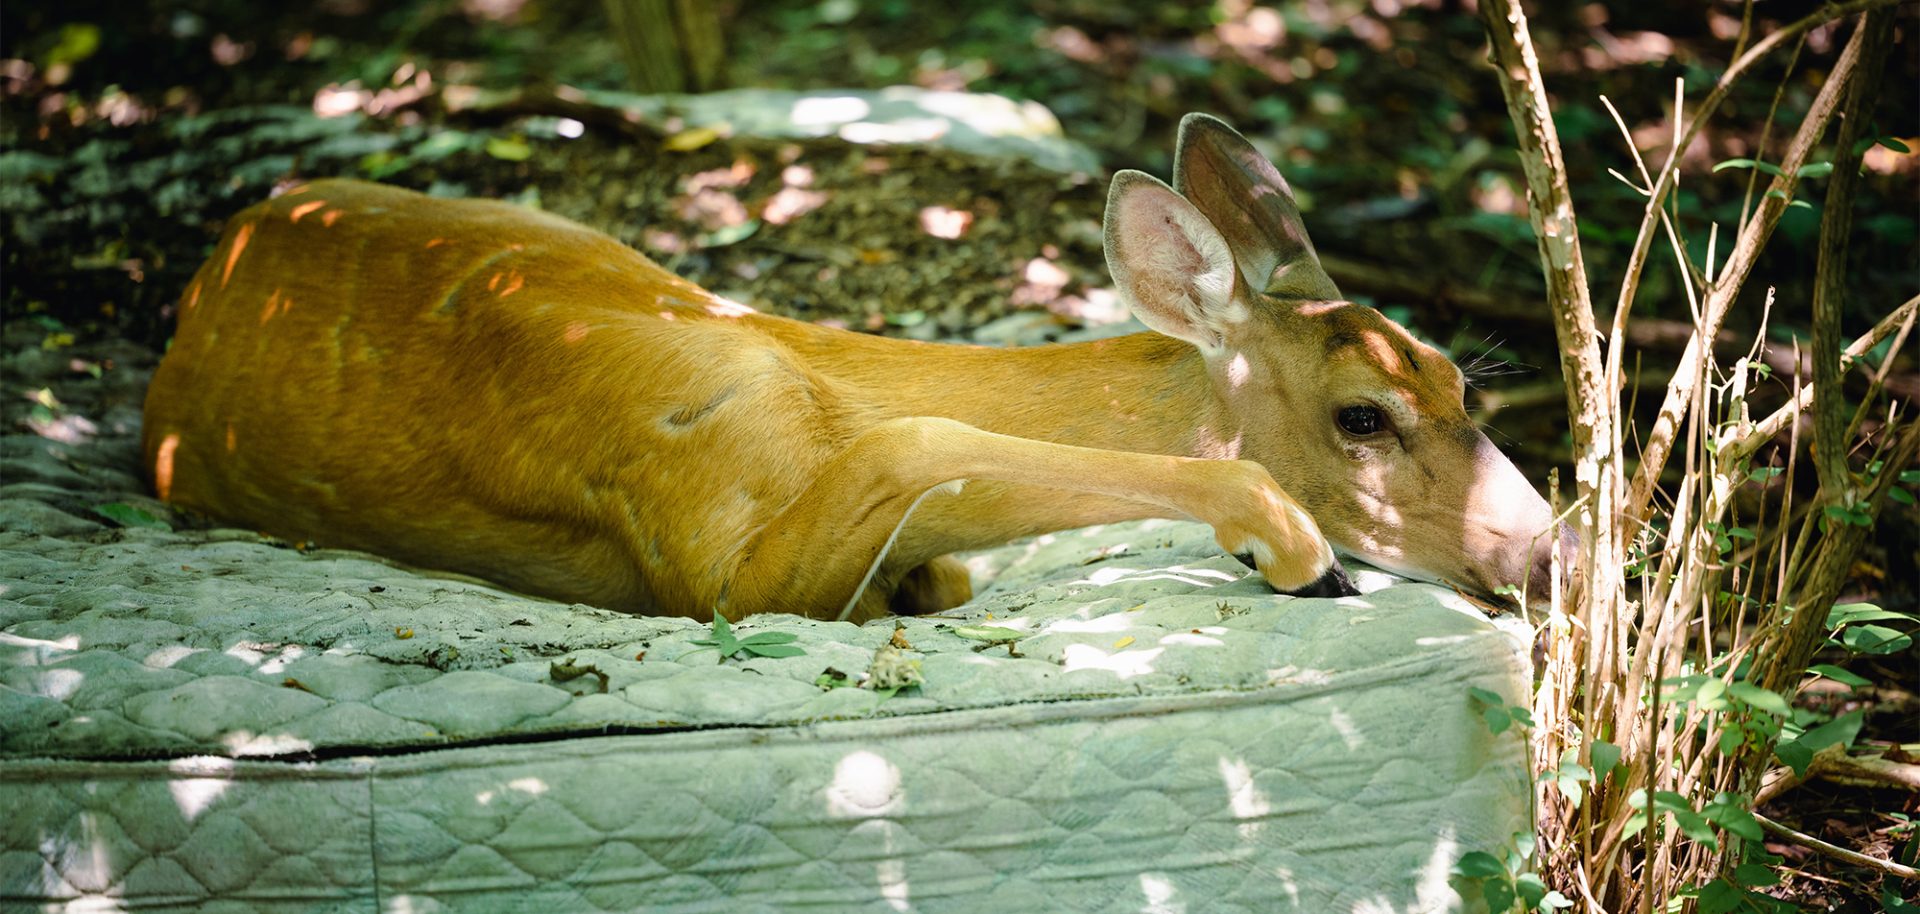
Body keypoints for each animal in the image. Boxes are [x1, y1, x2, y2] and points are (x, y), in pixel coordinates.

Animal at [142, 114, 1566, 625]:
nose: (1550, 552)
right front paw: (1293, 546)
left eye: (1464, 380)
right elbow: (920, 442)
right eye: (1362, 415)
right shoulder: (711, 552)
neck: (809, 372)